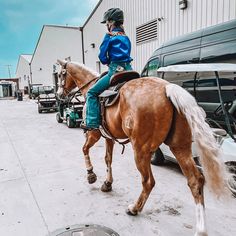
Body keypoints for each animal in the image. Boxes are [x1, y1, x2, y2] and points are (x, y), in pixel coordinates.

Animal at [57, 60, 227, 235]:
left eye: (61, 75)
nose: (59, 95)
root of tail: (167, 88)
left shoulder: (94, 134)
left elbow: (85, 150)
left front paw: (91, 175)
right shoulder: (109, 138)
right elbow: (108, 159)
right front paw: (107, 183)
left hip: (140, 150)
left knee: (148, 182)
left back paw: (134, 208)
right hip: (180, 147)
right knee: (195, 180)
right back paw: (201, 229)